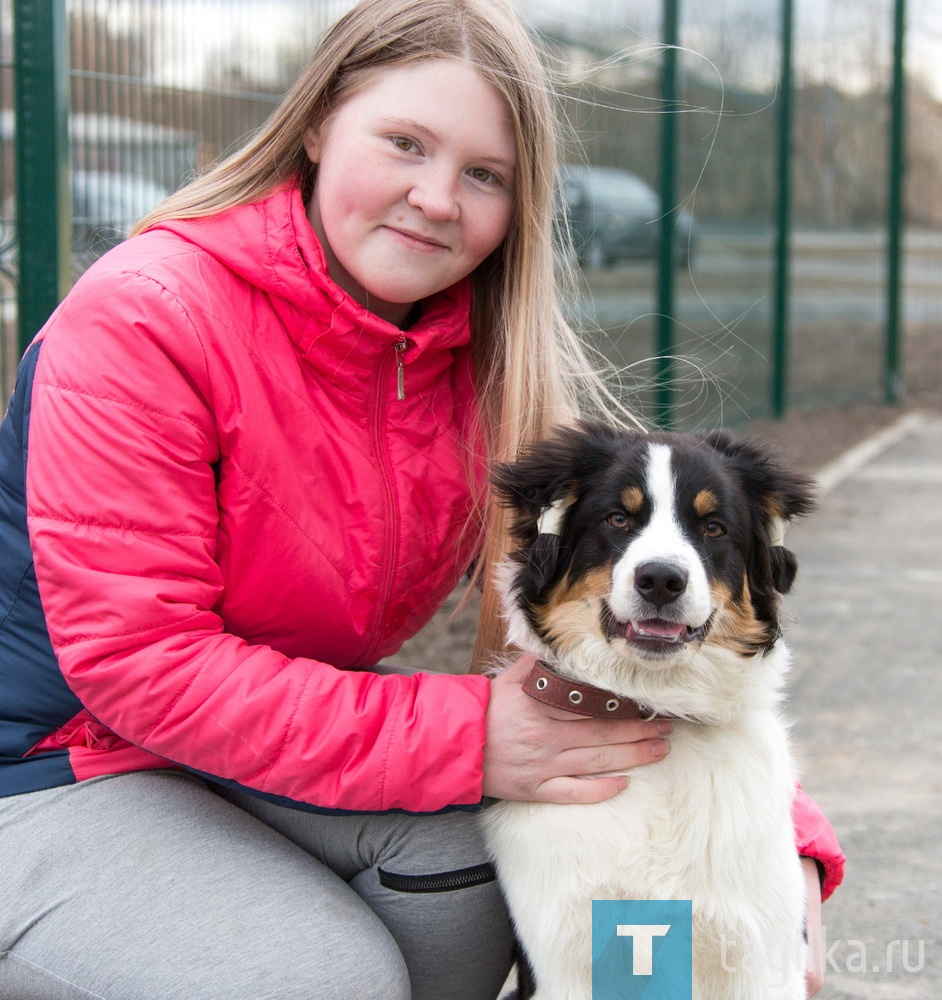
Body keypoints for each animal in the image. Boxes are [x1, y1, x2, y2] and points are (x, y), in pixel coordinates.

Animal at [486, 424, 820, 1000]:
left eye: (713, 527)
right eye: (618, 519)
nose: (661, 580)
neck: (654, 709)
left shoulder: (761, 958)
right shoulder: (567, 963)